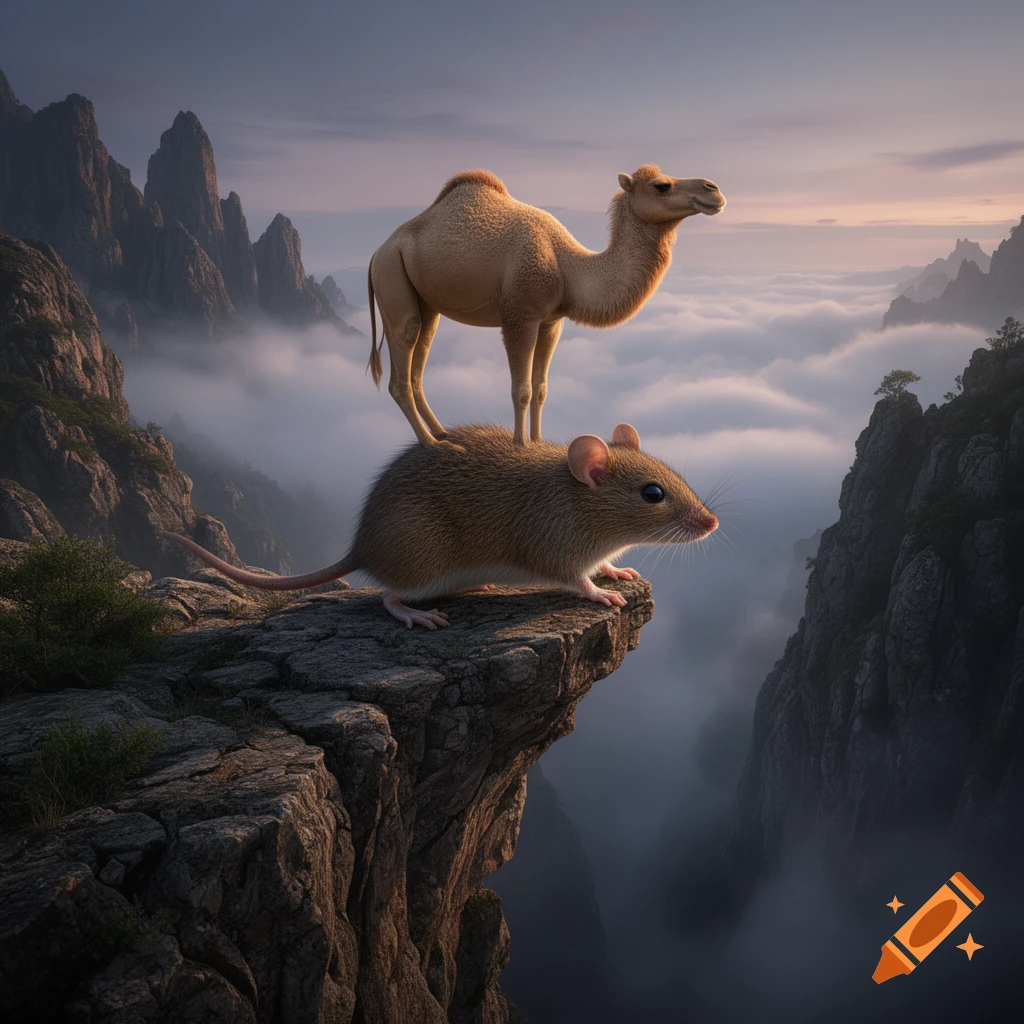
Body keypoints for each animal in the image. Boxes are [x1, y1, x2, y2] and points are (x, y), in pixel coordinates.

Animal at [366, 164, 726, 446]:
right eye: (661, 186)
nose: (714, 190)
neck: (568, 266)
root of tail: (378, 251)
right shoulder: (519, 317)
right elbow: (521, 389)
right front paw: (520, 444)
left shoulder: (551, 321)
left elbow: (540, 389)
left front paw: (538, 441)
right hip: (391, 273)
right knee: (403, 355)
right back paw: (433, 443)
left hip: (426, 301)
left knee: (421, 353)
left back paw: (443, 433)